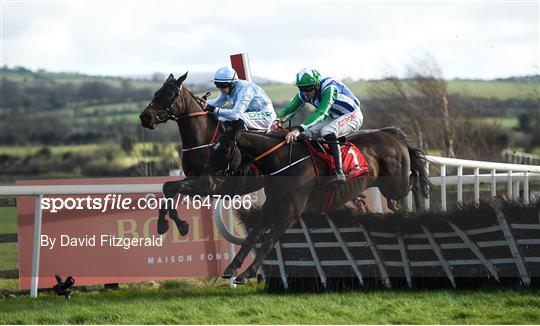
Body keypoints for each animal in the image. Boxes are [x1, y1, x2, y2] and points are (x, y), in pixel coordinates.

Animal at [138, 72, 262, 237]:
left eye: (169, 93)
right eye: (156, 93)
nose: (145, 117)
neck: (202, 139)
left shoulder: (209, 184)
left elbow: (174, 187)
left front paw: (180, 224)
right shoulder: (192, 178)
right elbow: (168, 187)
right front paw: (163, 223)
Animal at [188, 119, 428, 282]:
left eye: (226, 149)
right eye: (212, 148)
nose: (204, 181)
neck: (283, 162)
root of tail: (394, 136)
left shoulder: (291, 210)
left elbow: (270, 239)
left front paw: (247, 272)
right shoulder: (271, 203)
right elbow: (253, 235)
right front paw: (232, 268)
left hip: (394, 185)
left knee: (412, 184)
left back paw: (417, 211)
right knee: (399, 198)